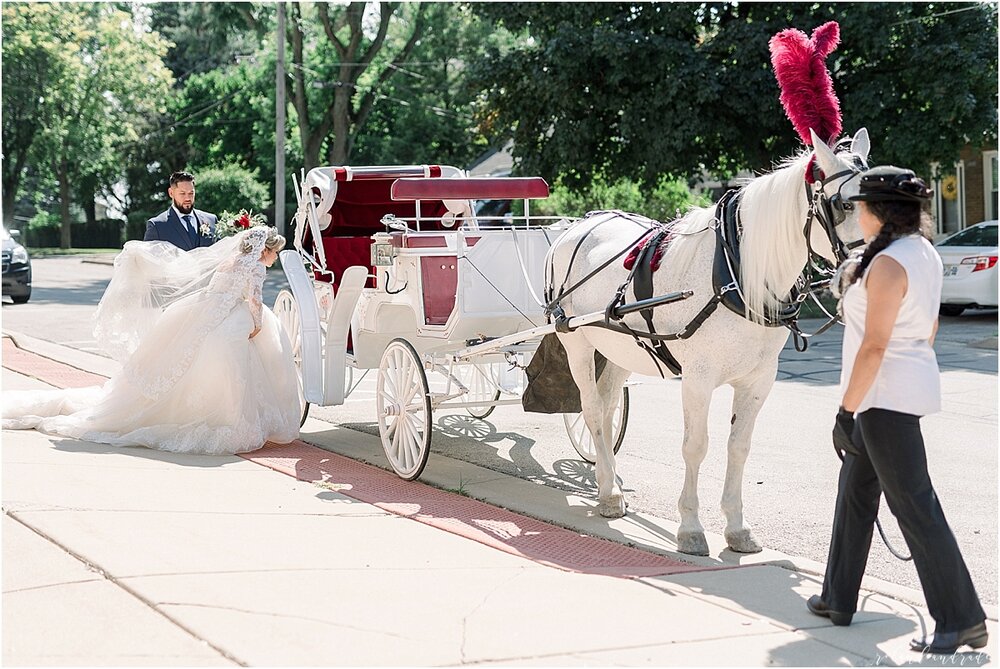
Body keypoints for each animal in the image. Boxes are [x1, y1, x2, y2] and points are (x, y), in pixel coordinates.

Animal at [548, 126, 868, 552]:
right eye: (842, 204)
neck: (737, 273)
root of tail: (577, 226)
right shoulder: (698, 379)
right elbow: (696, 446)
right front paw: (690, 528)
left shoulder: (759, 380)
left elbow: (739, 447)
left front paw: (737, 527)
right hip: (577, 344)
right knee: (593, 410)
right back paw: (608, 493)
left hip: (621, 347)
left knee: (609, 404)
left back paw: (608, 483)